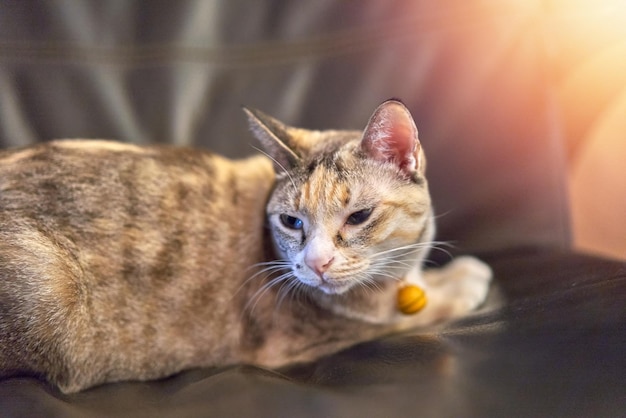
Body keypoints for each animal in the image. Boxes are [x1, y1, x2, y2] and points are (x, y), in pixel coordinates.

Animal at [0, 99, 490, 394]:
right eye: (292, 222)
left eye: (358, 217)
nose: (316, 263)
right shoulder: (314, 339)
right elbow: (419, 311)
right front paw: (464, 279)